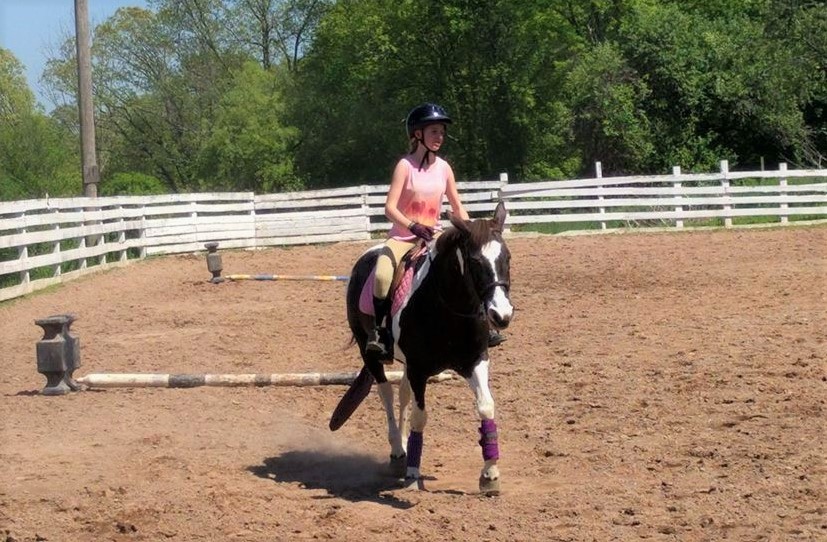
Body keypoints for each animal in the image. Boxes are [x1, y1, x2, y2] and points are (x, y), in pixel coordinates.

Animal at [329, 201, 513, 495]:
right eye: (475, 262)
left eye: (506, 258)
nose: (501, 315)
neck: (448, 309)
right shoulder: (419, 369)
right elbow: (419, 417)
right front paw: (413, 474)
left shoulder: (474, 360)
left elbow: (486, 406)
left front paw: (490, 475)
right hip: (369, 352)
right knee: (386, 393)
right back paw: (397, 453)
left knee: (402, 394)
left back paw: (403, 449)